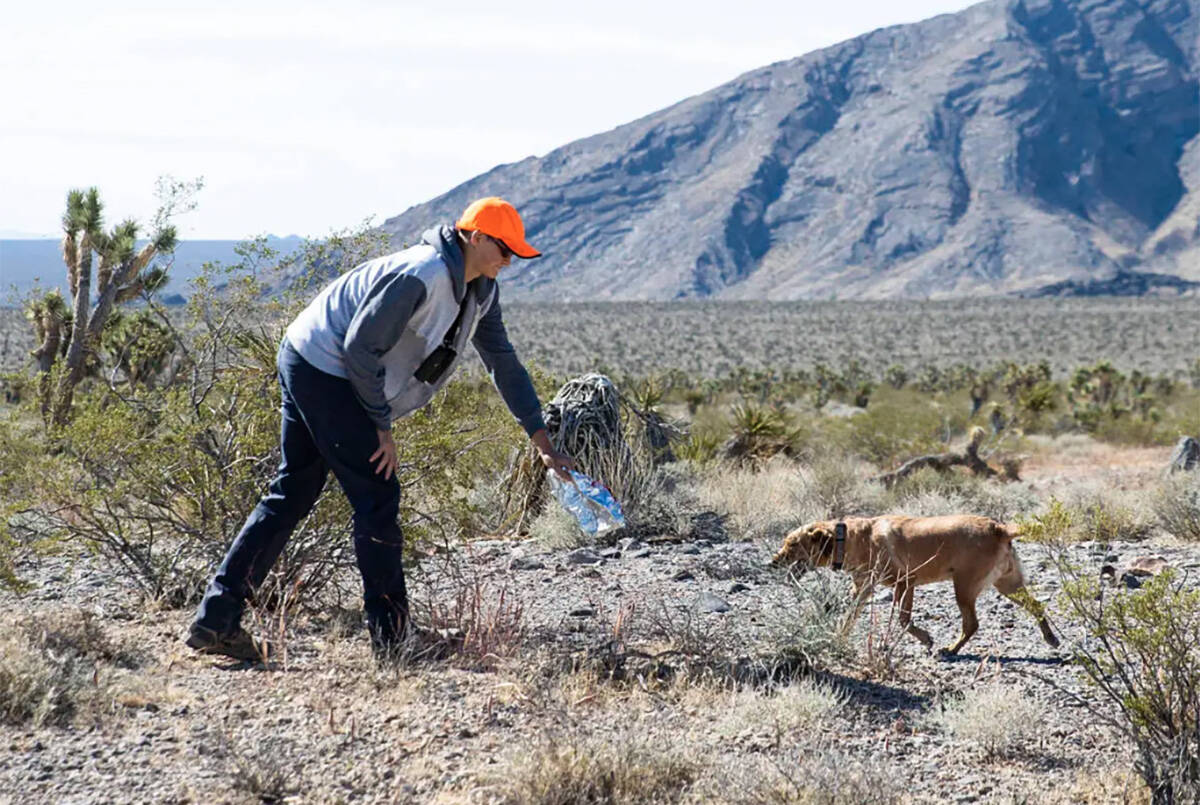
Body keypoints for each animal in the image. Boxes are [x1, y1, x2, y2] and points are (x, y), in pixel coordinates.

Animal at [768, 515, 1060, 652]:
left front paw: (926, 638)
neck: (849, 539)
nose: (772, 562)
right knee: (1036, 606)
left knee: (972, 624)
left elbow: (903, 619)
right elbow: (849, 617)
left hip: (964, 588)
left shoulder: (906, 582)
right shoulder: (863, 589)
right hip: (1007, 585)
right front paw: (838, 636)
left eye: (792, 544)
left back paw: (951, 649)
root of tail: (999, 528)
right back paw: (1051, 637)